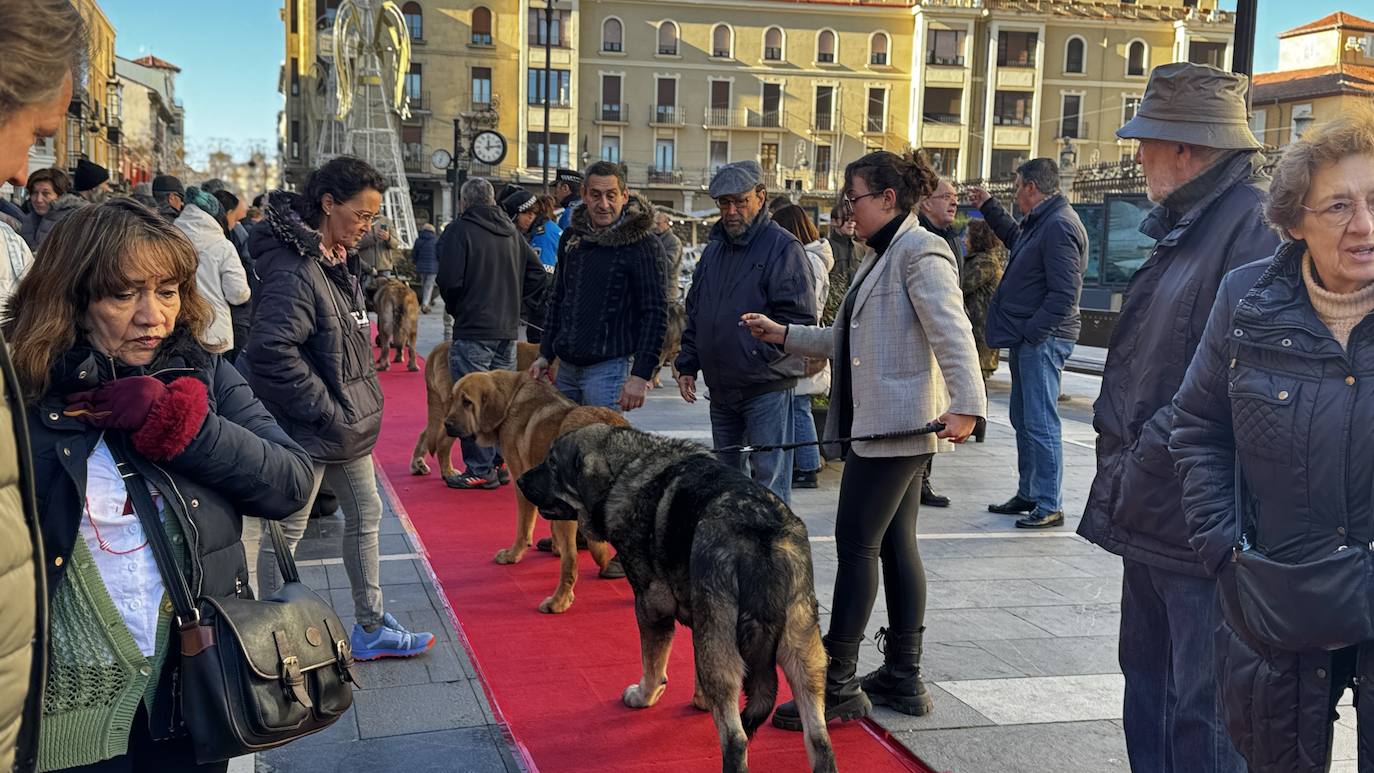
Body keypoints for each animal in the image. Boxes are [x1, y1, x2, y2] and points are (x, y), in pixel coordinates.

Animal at [442, 370, 621, 615]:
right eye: (452, 399)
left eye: (467, 402)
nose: (447, 424)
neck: (510, 399)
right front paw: (556, 546)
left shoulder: (522, 483)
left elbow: (523, 529)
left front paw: (512, 555)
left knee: (571, 564)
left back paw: (558, 602)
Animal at [516, 422, 835, 773]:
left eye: (552, 464)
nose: (520, 480)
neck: (628, 466)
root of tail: (760, 534)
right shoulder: (699, 619)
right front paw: (700, 701)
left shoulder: (651, 607)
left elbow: (652, 663)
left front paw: (644, 696)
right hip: (803, 650)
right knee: (819, 739)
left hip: (723, 644)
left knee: (736, 738)